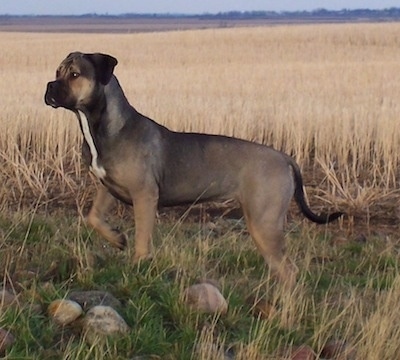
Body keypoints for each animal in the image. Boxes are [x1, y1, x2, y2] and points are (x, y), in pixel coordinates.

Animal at [44, 51, 344, 286]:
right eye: (57, 71)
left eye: (74, 74)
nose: (48, 87)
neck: (103, 126)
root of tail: (285, 158)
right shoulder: (108, 187)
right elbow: (93, 217)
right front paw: (117, 239)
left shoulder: (144, 196)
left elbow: (142, 238)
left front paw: (138, 263)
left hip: (264, 222)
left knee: (289, 271)